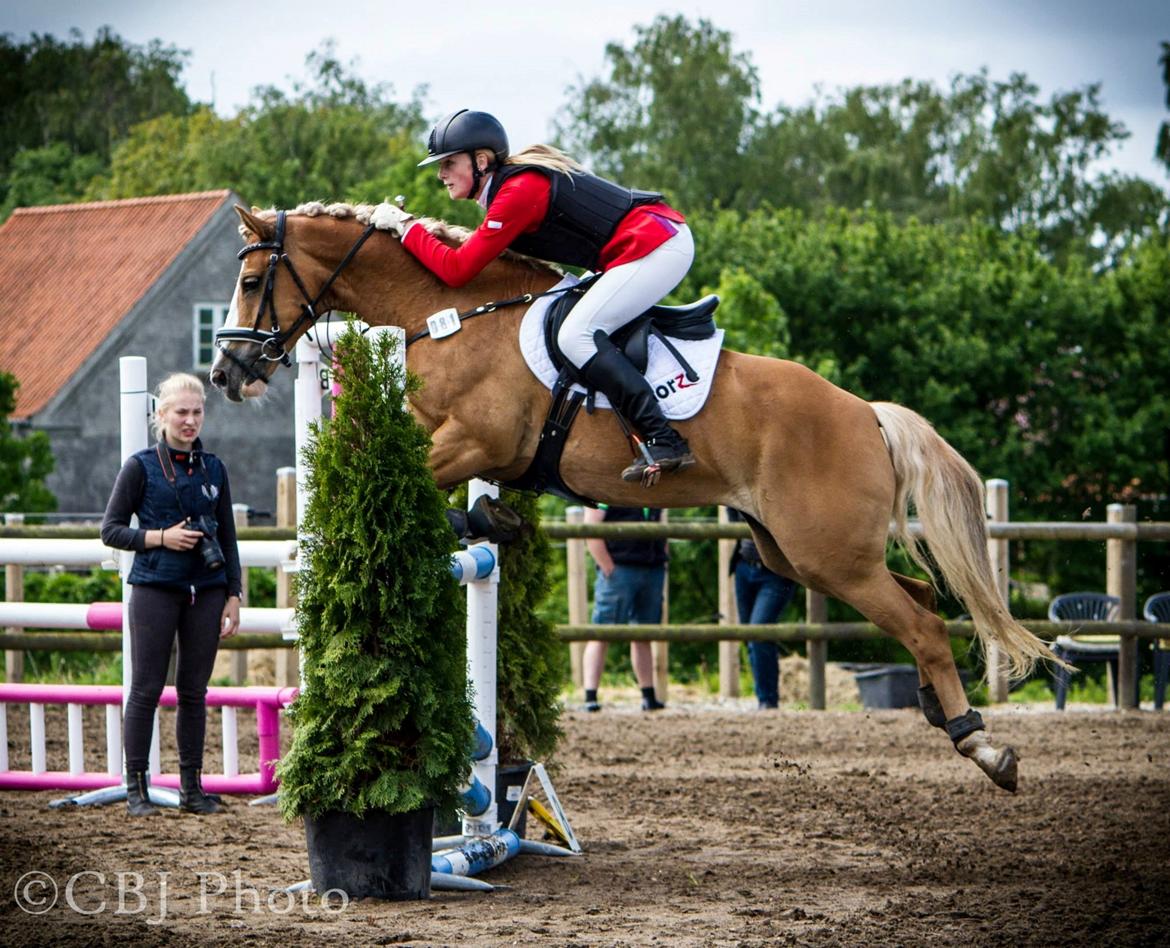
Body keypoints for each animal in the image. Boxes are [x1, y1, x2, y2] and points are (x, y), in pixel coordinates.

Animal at [211, 200, 1056, 793]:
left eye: (252, 282)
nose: (227, 374)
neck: (449, 315)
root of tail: (865, 413)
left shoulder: (475, 441)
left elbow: (416, 478)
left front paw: (476, 516)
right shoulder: (459, 441)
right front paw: (492, 517)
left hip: (828, 556)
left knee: (922, 623)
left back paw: (984, 745)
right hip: (797, 552)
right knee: (922, 597)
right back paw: (943, 714)